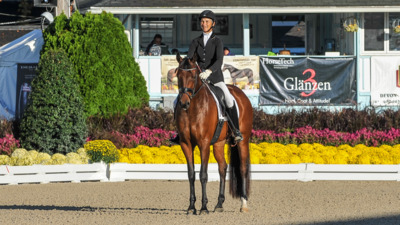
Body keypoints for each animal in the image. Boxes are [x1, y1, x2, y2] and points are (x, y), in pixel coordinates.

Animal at [176, 52, 253, 214]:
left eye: (194, 75)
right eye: (178, 75)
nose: (184, 103)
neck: (193, 109)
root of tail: (240, 92)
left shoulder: (204, 143)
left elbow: (203, 175)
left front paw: (203, 207)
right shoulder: (186, 144)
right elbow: (191, 175)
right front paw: (191, 207)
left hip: (243, 140)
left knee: (242, 168)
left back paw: (243, 204)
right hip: (219, 143)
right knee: (222, 167)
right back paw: (219, 204)